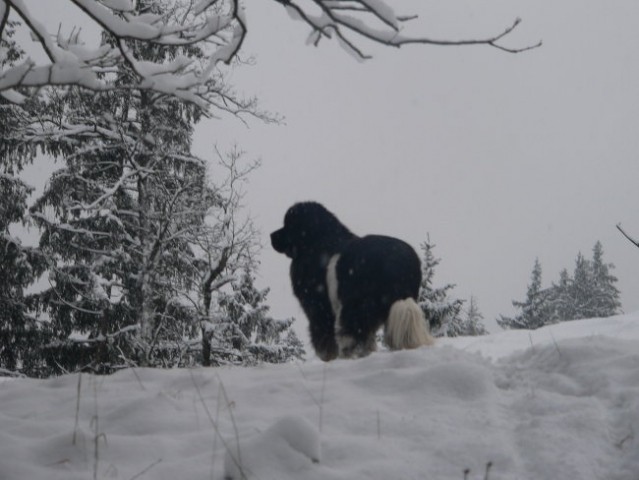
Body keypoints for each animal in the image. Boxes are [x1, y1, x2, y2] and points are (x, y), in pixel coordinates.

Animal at [272, 201, 436, 362]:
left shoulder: (319, 309)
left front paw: (327, 359)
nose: (271, 235)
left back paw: (349, 355)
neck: (315, 243)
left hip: (356, 304)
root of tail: (400, 265)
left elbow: (323, 336)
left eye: (288, 225)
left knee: (352, 332)